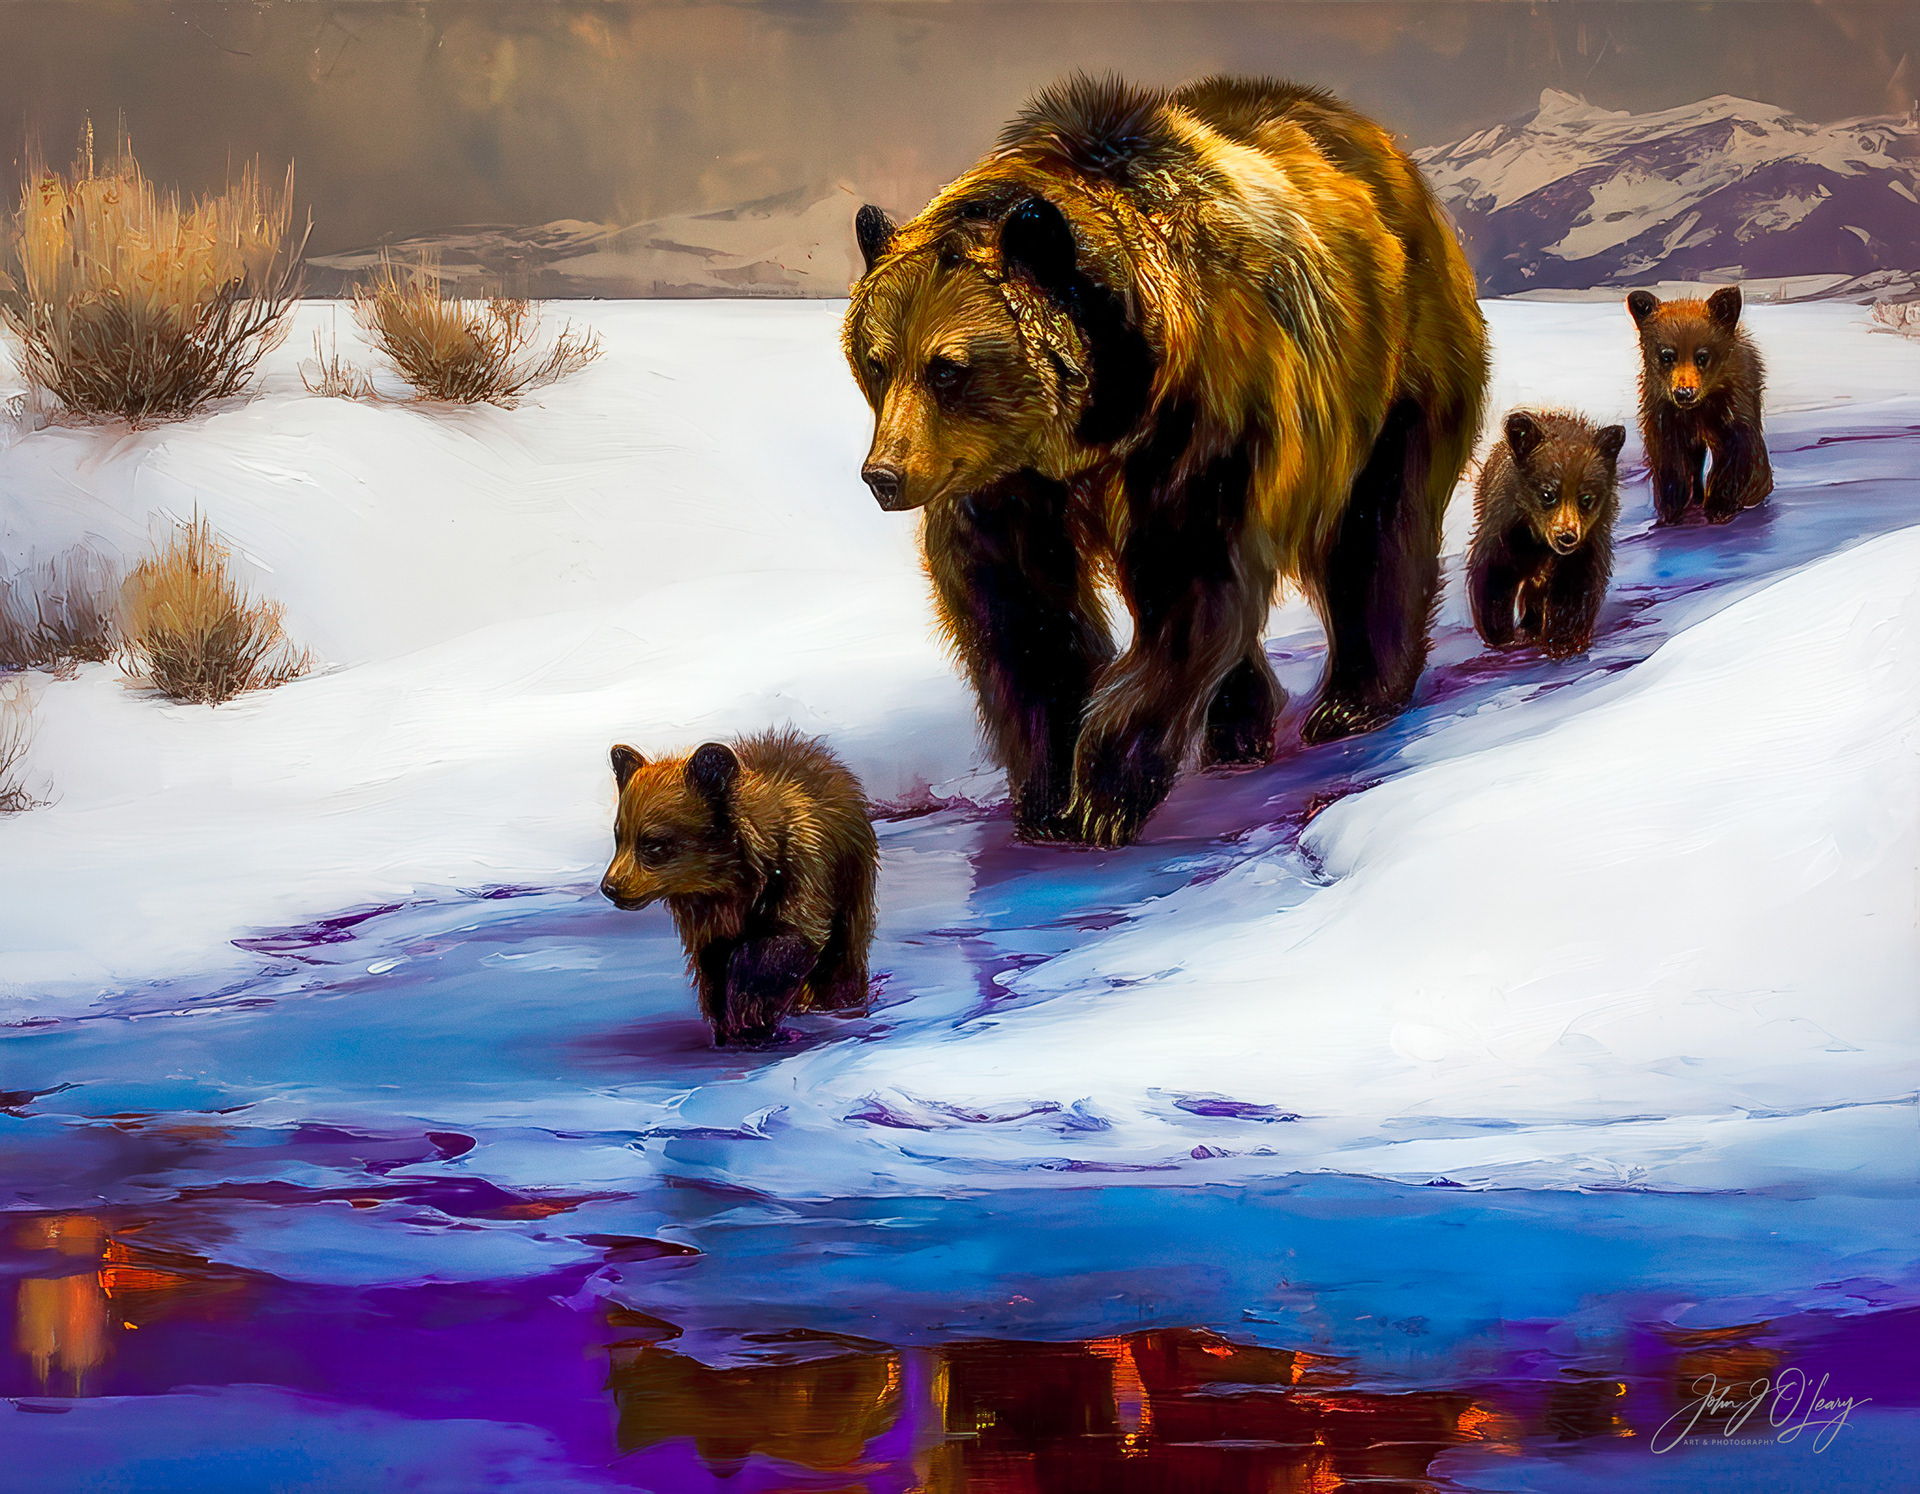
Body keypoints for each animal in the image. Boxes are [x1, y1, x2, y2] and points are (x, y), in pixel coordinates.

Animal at [599, 729, 879, 1047]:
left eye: (654, 843)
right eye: (620, 836)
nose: (610, 886)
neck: (729, 881)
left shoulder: (801, 874)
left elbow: (786, 942)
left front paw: (751, 1017)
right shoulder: (707, 919)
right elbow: (713, 968)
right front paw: (730, 1026)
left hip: (853, 884)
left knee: (843, 958)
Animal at [843, 74, 1489, 847]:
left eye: (947, 368)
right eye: (877, 362)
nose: (884, 475)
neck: (1096, 422)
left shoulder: (1204, 419)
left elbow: (1193, 579)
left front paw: (1105, 793)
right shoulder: (1007, 479)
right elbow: (1016, 605)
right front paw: (1050, 795)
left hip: (1395, 366)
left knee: (1379, 526)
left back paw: (1354, 701)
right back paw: (1240, 724)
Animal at [1468, 410, 1626, 661]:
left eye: (1586, 498)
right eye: (1547, 494)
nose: (1566, 536)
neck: (1540, 541)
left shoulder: (1587, 544)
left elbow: (1575, 586)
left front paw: (1563, 641)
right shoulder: (1507, 530)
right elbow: (1494, 576)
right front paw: (1502, 636)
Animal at [1627, 286, 1772, 526]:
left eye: (1702, 356)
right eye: (1667, 356)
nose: (1684, 392)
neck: (1698, 409)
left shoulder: (1732, 410)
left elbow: (1740, 455)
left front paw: (1722, 506)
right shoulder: (1665, 416)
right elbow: (1671, 462)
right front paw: (1672, 510)